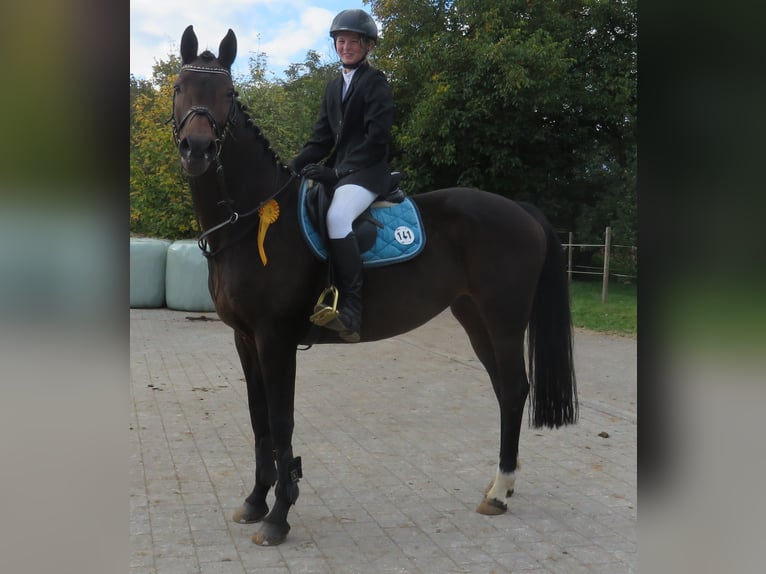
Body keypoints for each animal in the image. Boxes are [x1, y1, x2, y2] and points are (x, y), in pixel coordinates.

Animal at [168, 25, 576, 548]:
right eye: (181, 87)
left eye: (228, 95)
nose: (197, 150)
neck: (253, 220)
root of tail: (519, 209)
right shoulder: (245, 339)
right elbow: (259, 420)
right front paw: (256, 501)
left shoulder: (275, 338)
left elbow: (280, 421)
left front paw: (278, 514)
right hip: (474, 319)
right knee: (507, 390)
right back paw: (498, 486)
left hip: (504, 321)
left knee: (515, 388)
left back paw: (501, 490)